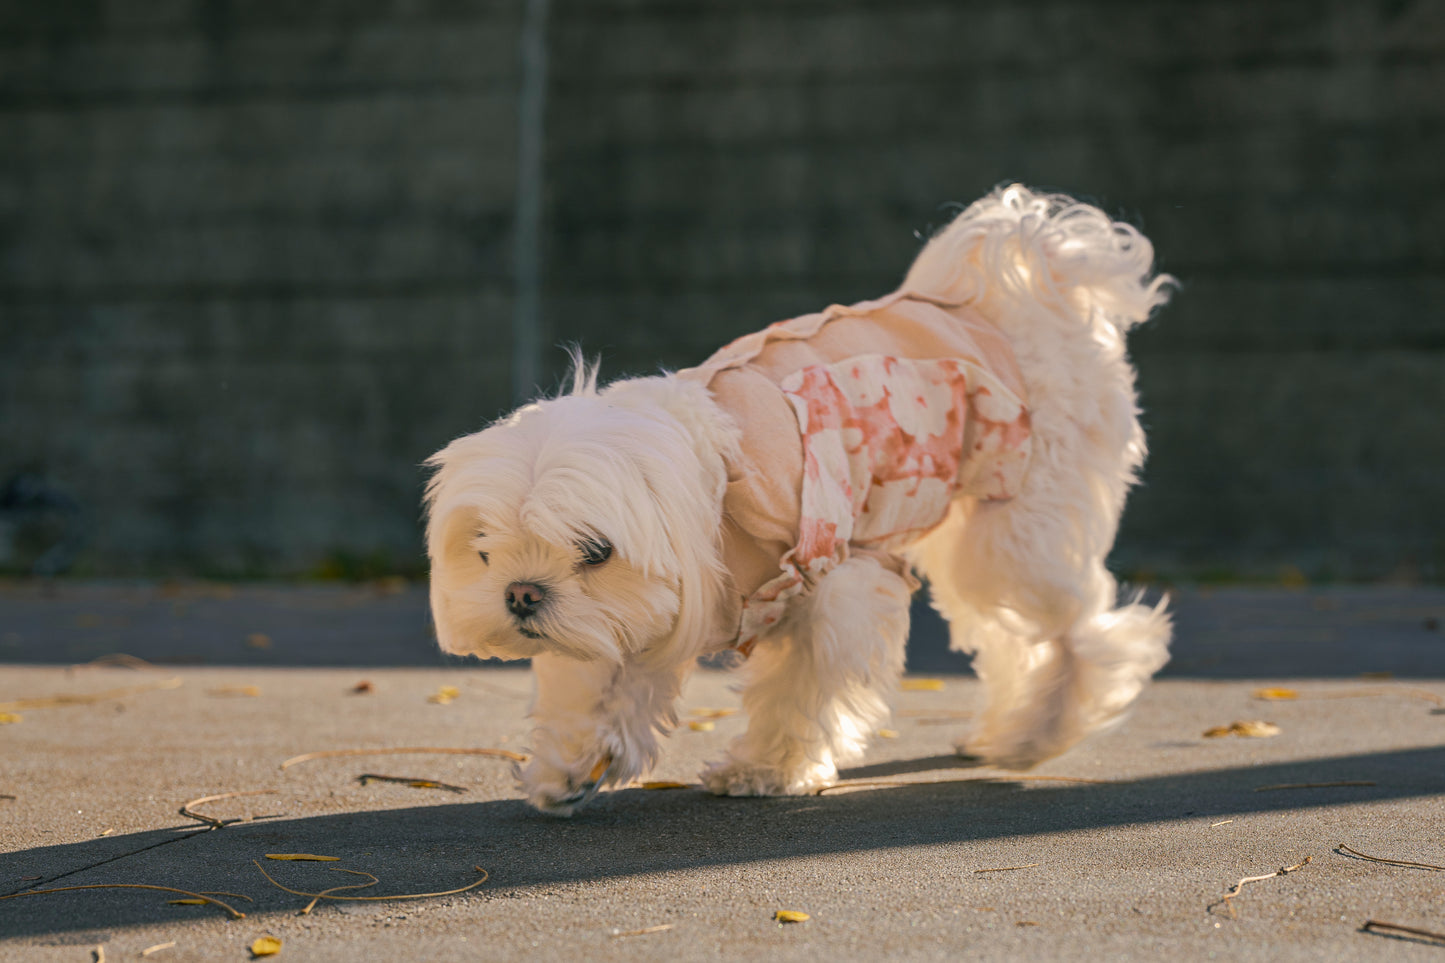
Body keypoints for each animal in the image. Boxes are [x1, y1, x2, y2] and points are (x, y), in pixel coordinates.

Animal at [421, 185, 1167, 809]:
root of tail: (1009, 300)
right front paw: (575, 764)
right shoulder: (643, 613)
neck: (711, 498)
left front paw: (767, 769)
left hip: (1013, 534)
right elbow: (603, 673)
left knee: (1079, 629)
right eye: (483, 551)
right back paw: (1004, 729)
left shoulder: (835, 582)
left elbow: (800, 685)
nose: (522, 594)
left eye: (595, 550)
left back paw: (1036, 733)